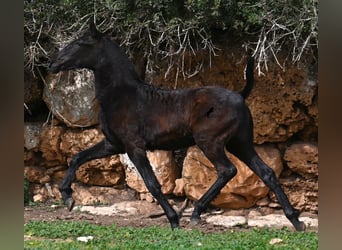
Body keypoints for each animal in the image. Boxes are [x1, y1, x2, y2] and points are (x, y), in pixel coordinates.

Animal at [48, 20, 304, 231]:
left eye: (80, 43)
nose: (53, 63)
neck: (121, 95)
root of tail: (240, 96)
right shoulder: (113, 144)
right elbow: (78, 157)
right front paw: (67, 197)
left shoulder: (134, 146)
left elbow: (152, 183)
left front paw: (173, 219)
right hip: (240, 143)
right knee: (266, 172)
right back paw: (295, 220)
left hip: (210, 142)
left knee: (227, 170)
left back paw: (196, 212)